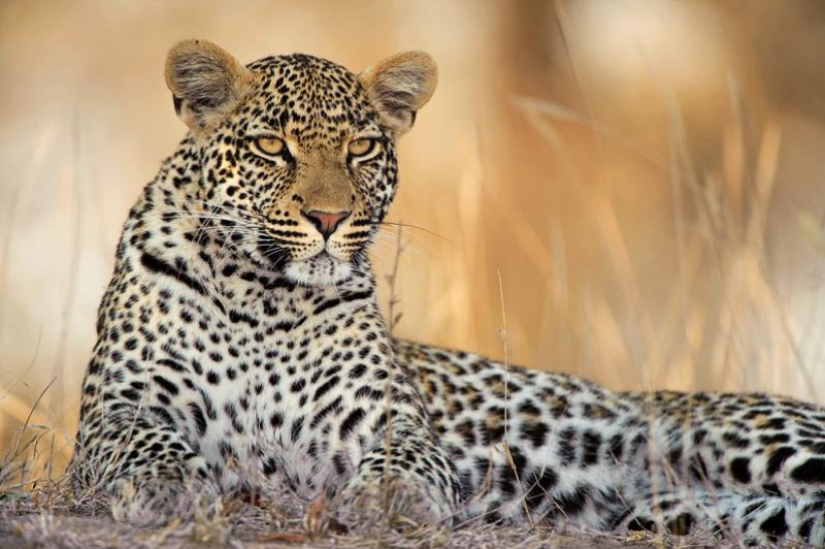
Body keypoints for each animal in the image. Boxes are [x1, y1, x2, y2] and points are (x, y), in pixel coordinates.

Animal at [69, 39, 824, 544]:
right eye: (271, 147)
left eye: (362, 149)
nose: (328, 218)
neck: (263, 296)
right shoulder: (116, 408)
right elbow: (144, 441)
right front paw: (170, 485)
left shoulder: (383, 415)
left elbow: (404, 453)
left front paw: (393, 496)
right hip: (703, 510)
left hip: (751, 439)